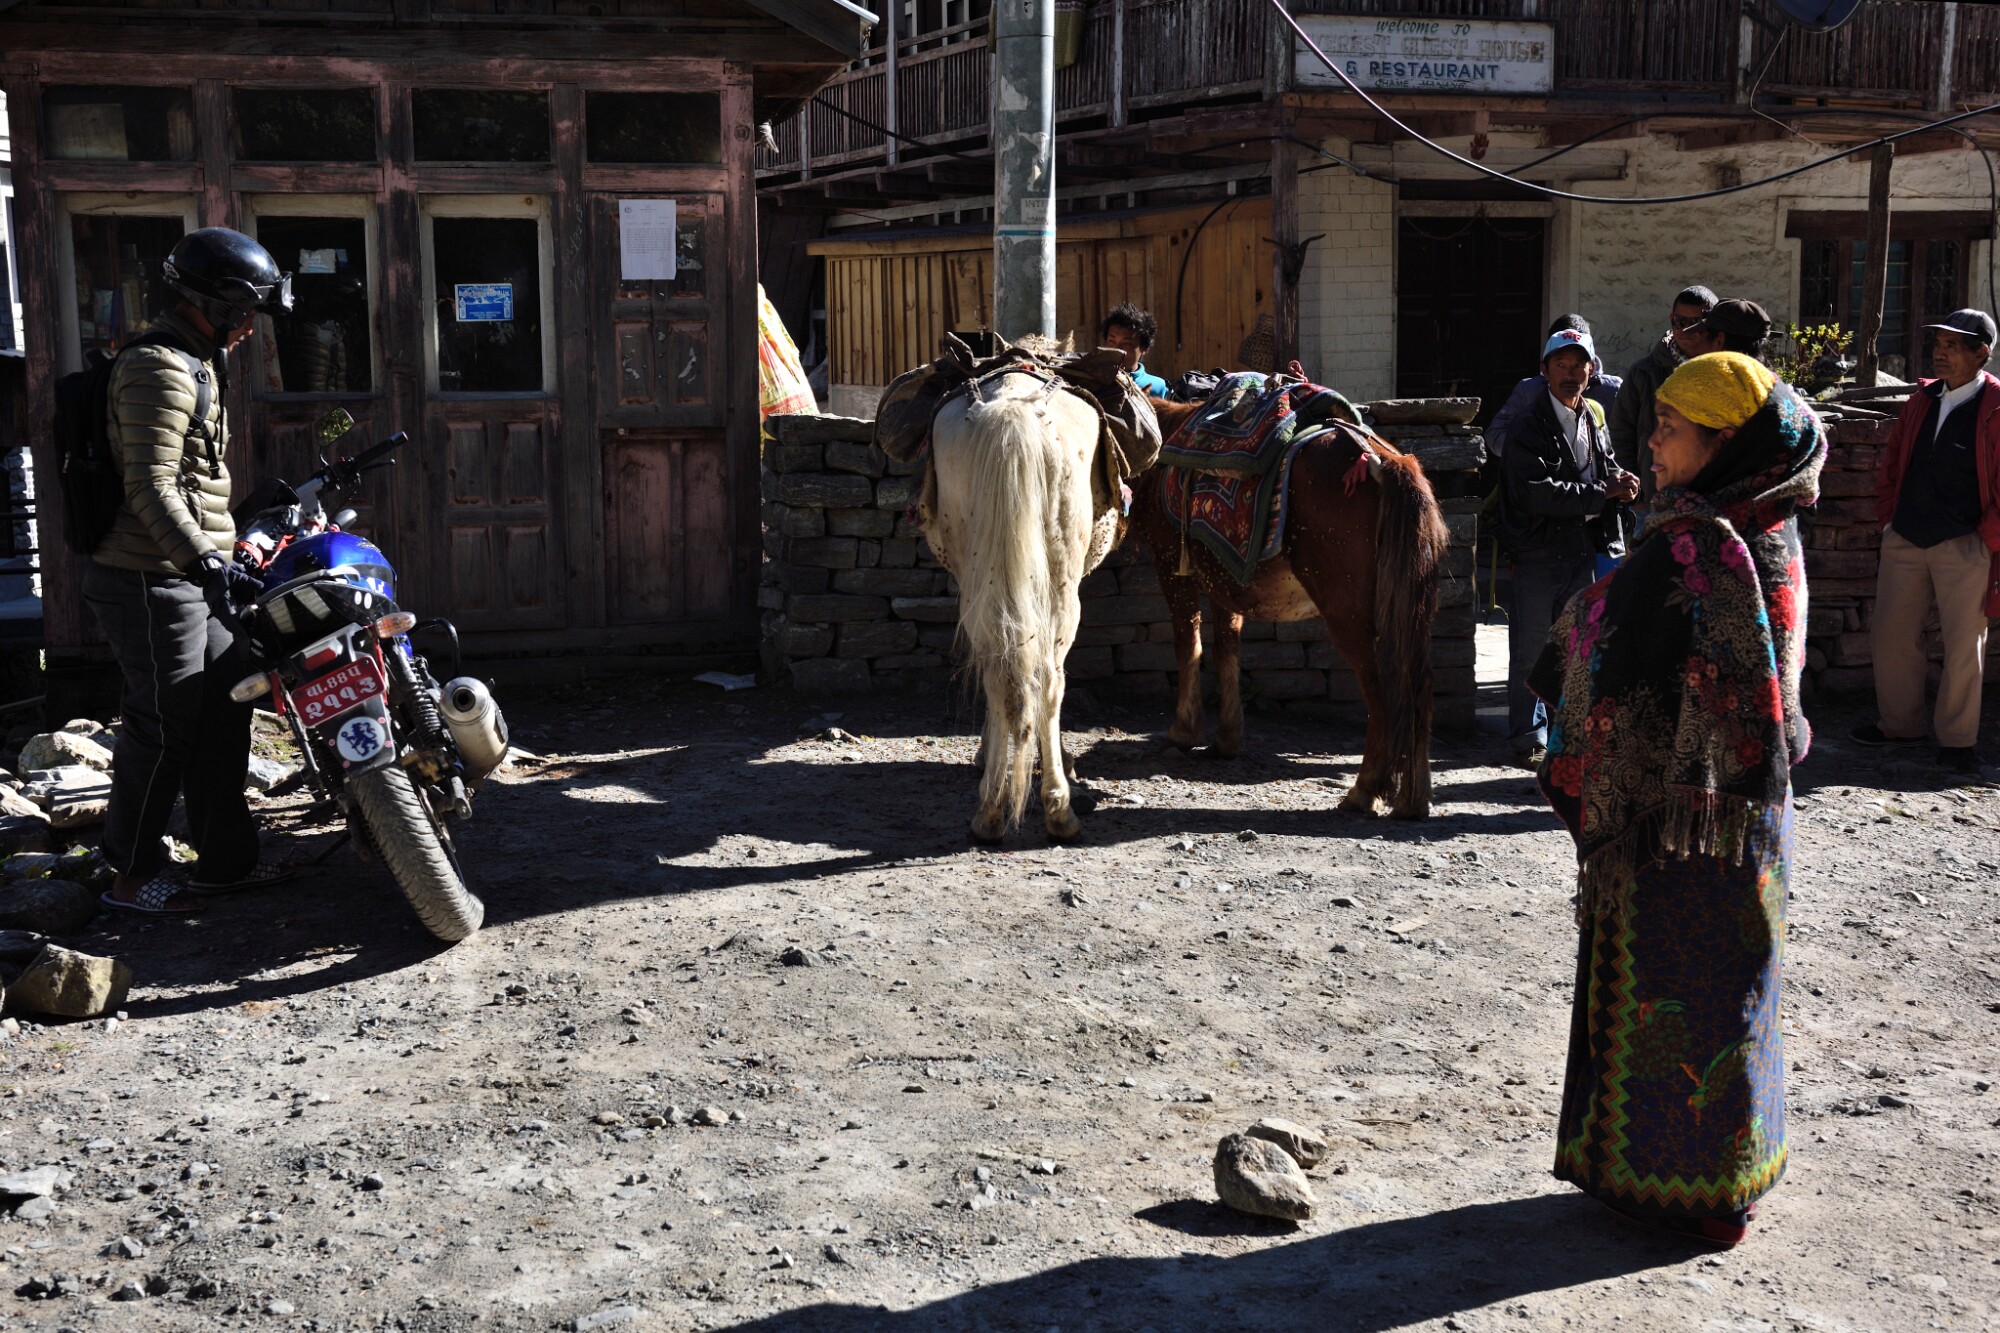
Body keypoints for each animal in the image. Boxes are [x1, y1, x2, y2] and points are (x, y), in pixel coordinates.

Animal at [926, 369, 1126, 843]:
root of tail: (1012, 411)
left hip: (982, 581)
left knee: (1001, 671)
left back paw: (994, 810)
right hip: (1060, 589)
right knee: (1046, 680)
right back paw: (1055, 810)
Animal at [1130, 397, 1448, 818]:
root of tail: (1389, 464)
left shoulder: (1171, 565)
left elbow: (1188, 644)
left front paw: (1184, 729)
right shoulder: (1224, 578)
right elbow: (1226, 647)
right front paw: (1227, 738)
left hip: (1349, 615)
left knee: (1381, 689)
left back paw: (1365, 791)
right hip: (1411, 612)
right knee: (1419, 684)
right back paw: (1413, 799)